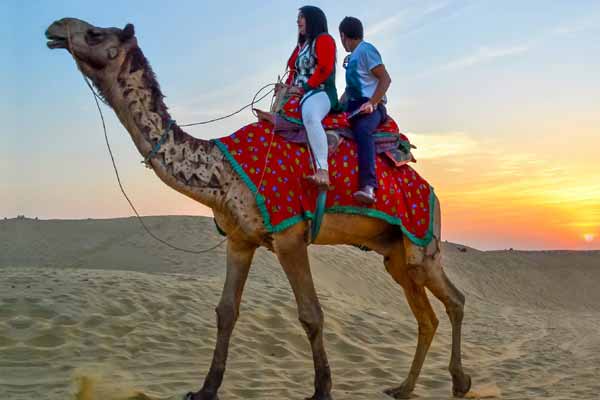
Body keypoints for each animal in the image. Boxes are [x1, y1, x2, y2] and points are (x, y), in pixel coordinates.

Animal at [44, 18, 472, 400]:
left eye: (95, 33)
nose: (54, 27)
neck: (222, 170)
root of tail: (432, 191)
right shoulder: (240, 239)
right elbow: (225, 311)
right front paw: (205, 390)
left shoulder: (289, 234)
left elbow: (311, 313)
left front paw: (322, 390)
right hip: (395, 253)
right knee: (427, 315)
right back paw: (405, 388)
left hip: (421, 241)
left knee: (454, 300)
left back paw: (459, 382)